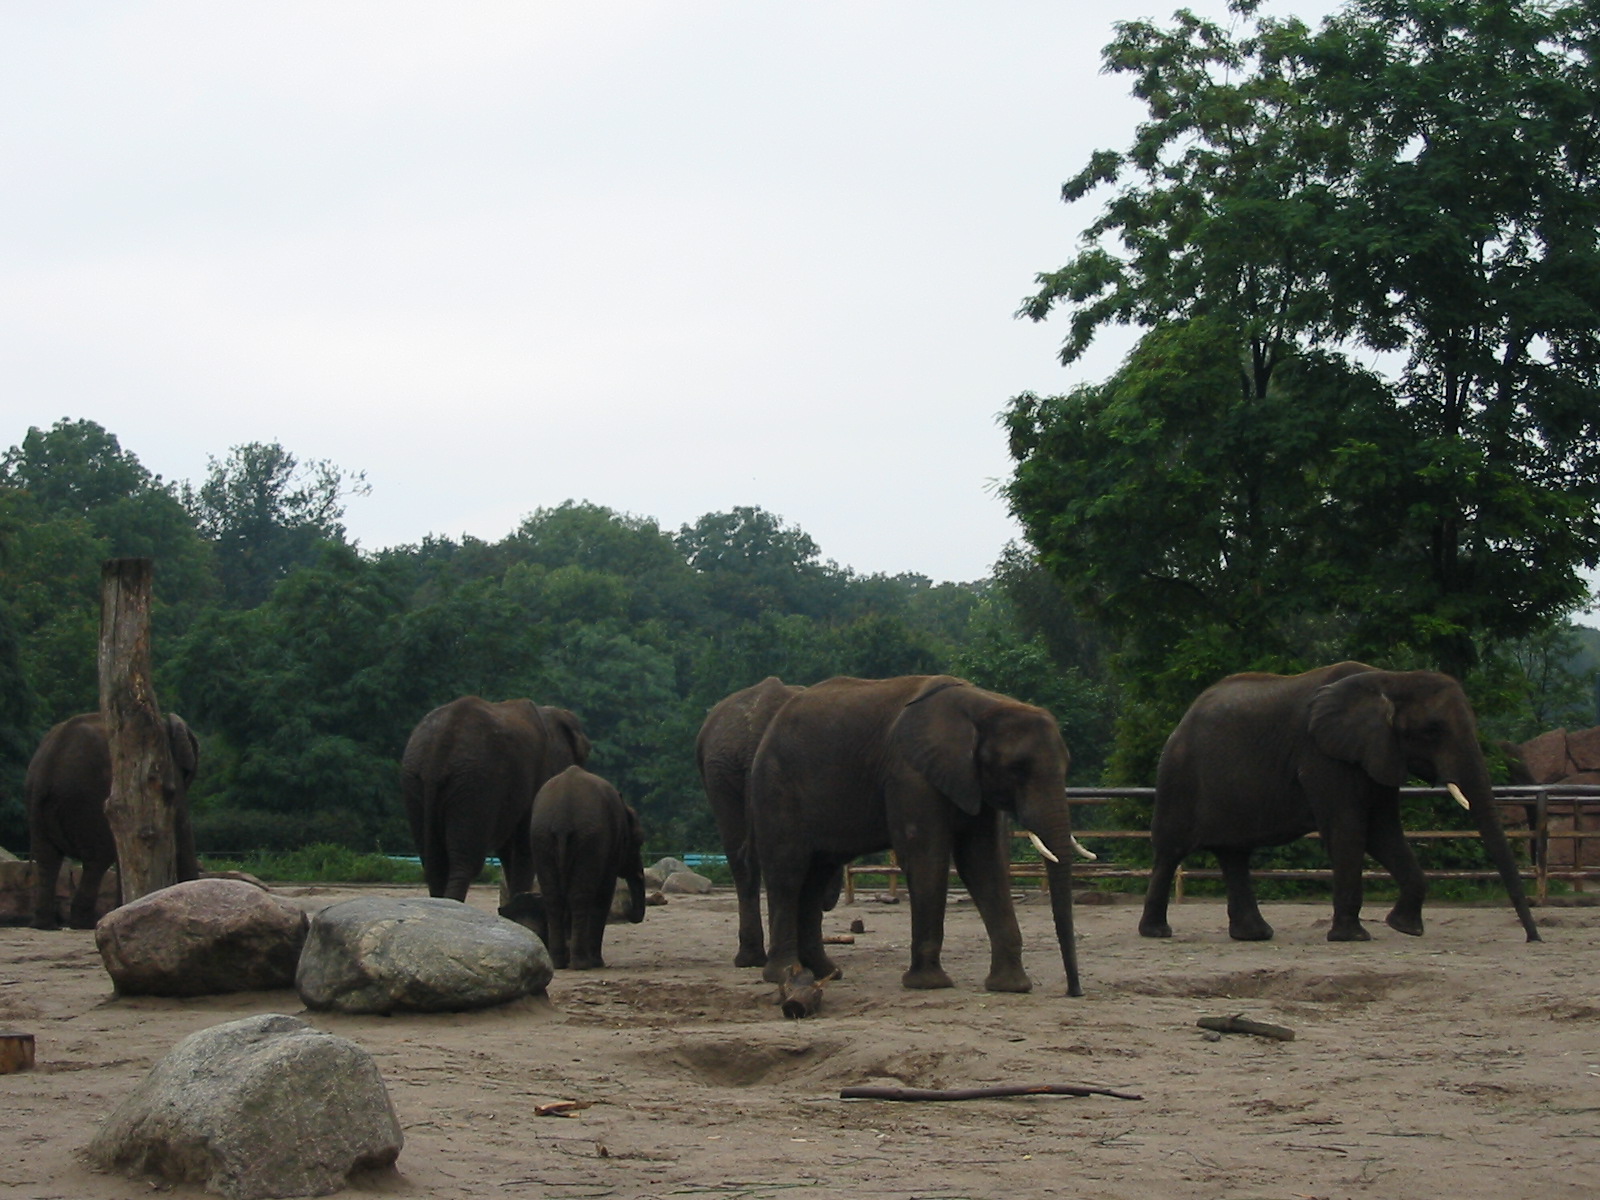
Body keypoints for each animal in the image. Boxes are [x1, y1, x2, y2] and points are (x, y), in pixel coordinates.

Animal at [26, 711, 200, 930]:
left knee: (48, 858)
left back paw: (46, 924)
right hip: (89, 803)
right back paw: (84, 924)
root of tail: (48, 767)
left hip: (38, 806)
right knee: (97, 860)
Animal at [401, 696, 591, 902]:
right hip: (475, 785)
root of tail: (439, 750)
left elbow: (510, 852)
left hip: (416, 781)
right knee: (465, 862)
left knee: (434, 863)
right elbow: (524, 845)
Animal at [498, 765, 646, 969]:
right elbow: (604, 894)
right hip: (589, 842)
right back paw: (582, 963)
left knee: (553, 898)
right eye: (639, 841)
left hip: (541, 838)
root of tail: (562, 820)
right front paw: (598, 962)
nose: (628, 909)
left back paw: (559, 962)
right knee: (580, 897)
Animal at [748, 674, 1083, 996]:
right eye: (1017, 769)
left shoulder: (972, 781)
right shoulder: (909, 773)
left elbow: (983, 862)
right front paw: (929, 984)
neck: (983, 705)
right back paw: (785, 974)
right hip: (776, 787)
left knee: (817, 876)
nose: (1074, 991)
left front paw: (1011, 987)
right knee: (788, 872)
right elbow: (927, 857)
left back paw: (825, 973)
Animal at [1138, 662, 1542, 944]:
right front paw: (1353, 937)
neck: (1390, 680)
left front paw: (1405, 928)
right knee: (1172, 849)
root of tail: (1183, 719)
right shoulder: (1322, 754)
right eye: (1433, 730)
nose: (1533, 938)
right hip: (1179, 775)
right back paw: (1157, 932)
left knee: (1234, 854)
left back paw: (1255, 935)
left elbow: (1383, 832)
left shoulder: (1378, 753)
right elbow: (1348, 829)